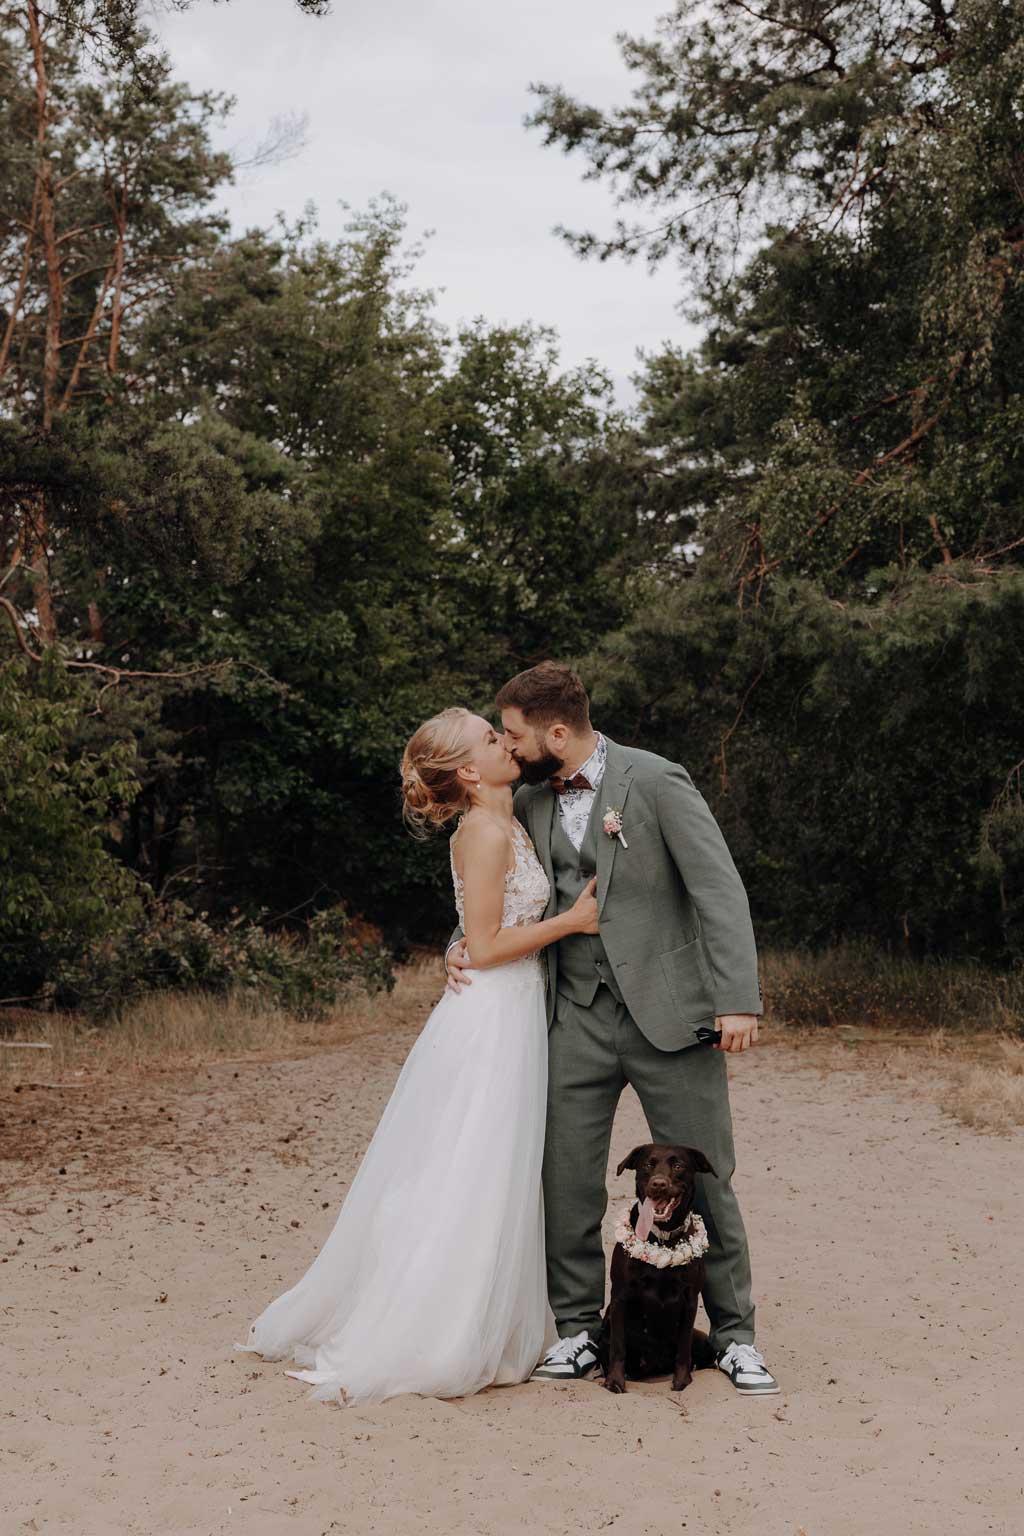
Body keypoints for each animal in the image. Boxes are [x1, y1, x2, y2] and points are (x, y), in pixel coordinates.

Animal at [595, 1142, 718, 1394]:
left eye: (678, 1166)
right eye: (647, 1165)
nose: (659, 1184)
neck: (662, 1240)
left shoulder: (690, 1299)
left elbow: (683, 1348)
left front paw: (682, 1381)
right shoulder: (620, 1298)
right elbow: (618, 1348)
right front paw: (615, 1381)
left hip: (704, 1341)